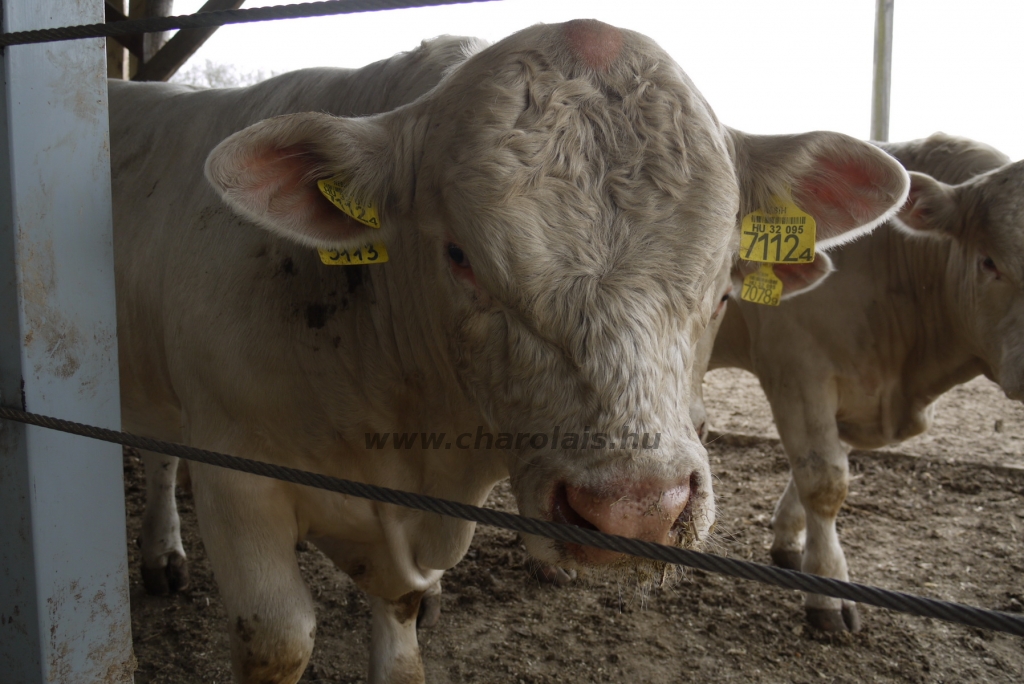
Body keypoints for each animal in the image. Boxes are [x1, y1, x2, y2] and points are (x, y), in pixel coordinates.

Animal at [112, 21, 909, 684]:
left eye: (724, 284)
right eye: (460, 256)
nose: (635, 511)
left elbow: (401, 621)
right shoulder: (236, 477)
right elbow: (278, 640)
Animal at [704, 135, 1024, 634]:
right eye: (990, 262)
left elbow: (815, 466)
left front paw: (790, 541)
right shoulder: (797, 370)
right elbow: (823, 481)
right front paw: (827, 590)